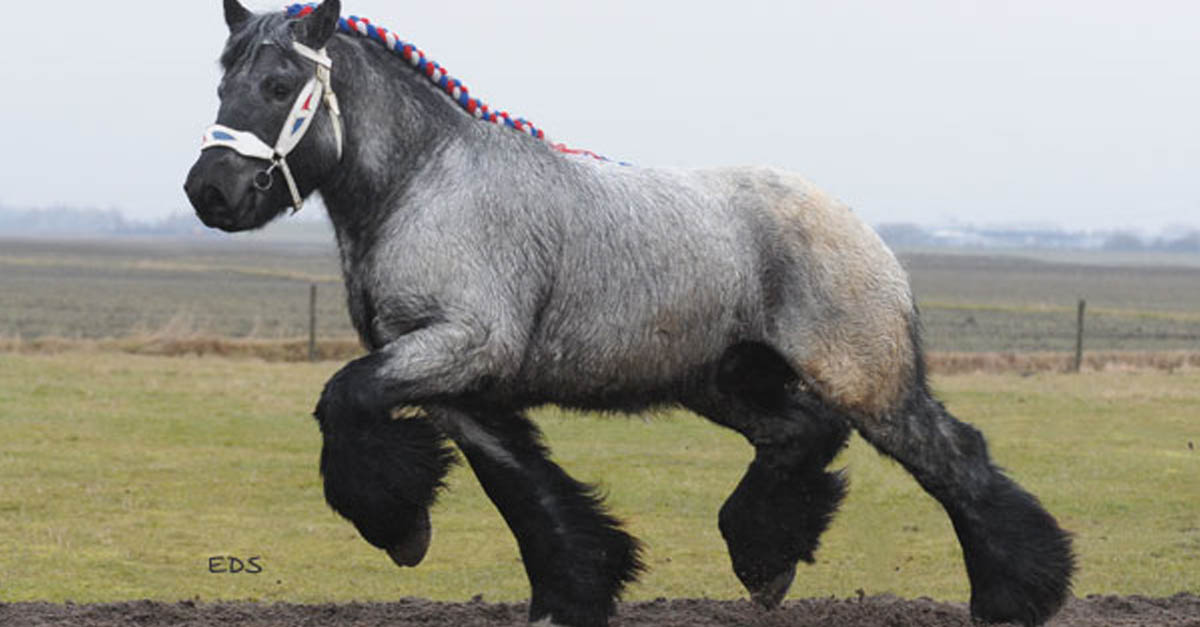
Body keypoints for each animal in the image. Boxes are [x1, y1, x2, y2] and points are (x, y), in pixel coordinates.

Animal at [184, 2, 1080, 619]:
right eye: (221, 85)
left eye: (278, 85)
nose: (210, 192)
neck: (424, 185)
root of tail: (856, 223)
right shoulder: (450, 380)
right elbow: (524, 488)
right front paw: (571, 590)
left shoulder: (459, 345)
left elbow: (342, 398)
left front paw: (402, 532)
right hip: (725, 382)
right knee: (803, 435)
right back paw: (766, 560)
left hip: (865, 377)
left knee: (953, 459)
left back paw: (1016, 593)